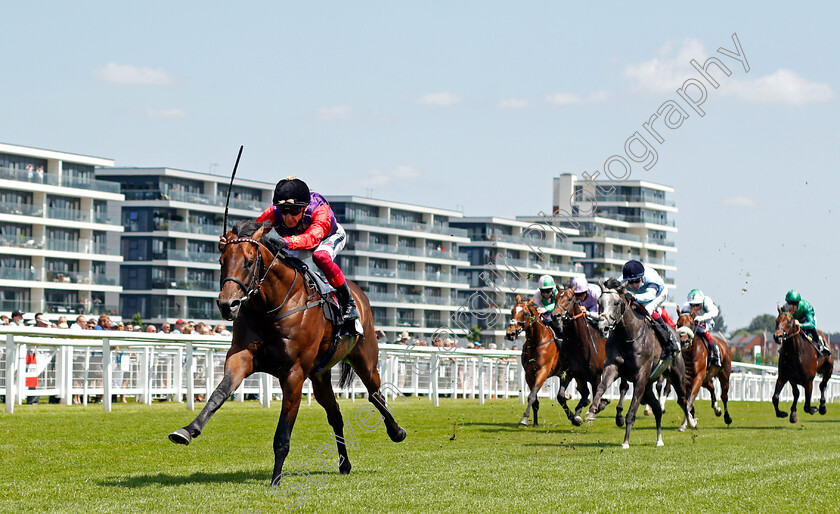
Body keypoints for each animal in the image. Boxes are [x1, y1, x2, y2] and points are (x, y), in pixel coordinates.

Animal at [167, 221, 404, 484]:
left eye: (249, 261)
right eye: (221, 260)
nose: (228, 305)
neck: (272, 306)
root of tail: (359, 294)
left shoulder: (294, 373)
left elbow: (283, 432)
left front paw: (275, 480)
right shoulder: (241, 357)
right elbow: (219, 393)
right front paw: (188, 430)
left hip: (365, 359)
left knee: (376, 395)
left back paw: (397, 431)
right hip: (319, 376)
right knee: (336, 415)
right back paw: (344, 464)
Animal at [584, 278, 688, 446]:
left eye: (616, 303)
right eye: (599, 302)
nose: (603, 327)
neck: (627, 336)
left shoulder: (640, 376)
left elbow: (632, 411)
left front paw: (625, 441)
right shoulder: (613, 367)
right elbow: (601, 386)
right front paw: (591, 411)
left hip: (675, 377)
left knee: (683, 398)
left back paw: (690, 422)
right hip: (648, 385)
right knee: (657, 408)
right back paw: (659, 440)